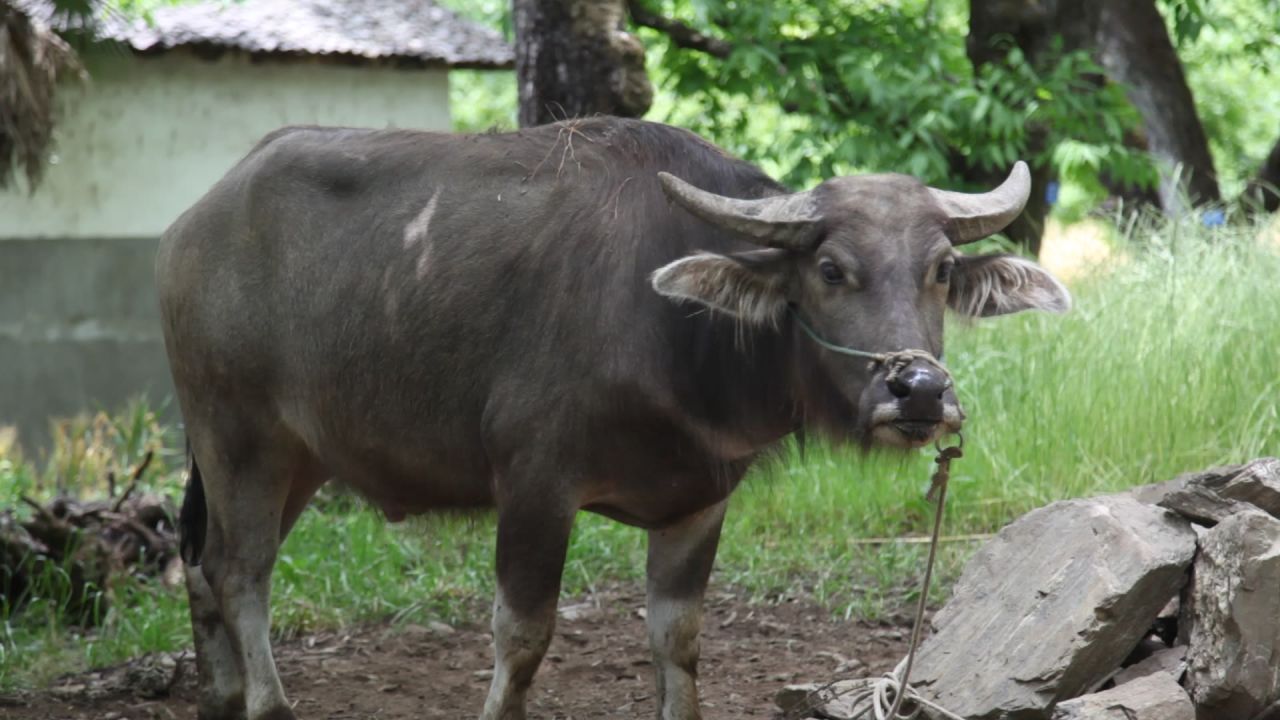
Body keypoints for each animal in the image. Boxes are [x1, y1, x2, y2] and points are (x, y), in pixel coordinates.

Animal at [160, 114, 1070, 712]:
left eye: (941, 269)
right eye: (831, 268)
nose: (918, 392)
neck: (674, 330)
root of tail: (191, 227)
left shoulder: (700, 502)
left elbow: (677, 639)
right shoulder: (534, 486)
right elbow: (523, 637)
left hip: (296, 457)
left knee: (204, 565)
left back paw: (221, 697)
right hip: (237, 435)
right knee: (240, 572)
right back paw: (267, 703)